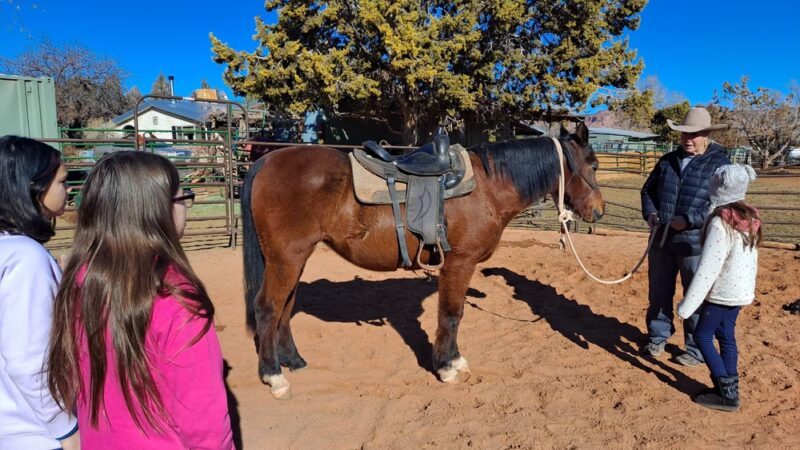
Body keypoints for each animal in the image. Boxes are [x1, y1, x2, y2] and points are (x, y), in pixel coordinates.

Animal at [241, 122, 605, 399]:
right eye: (594, 165)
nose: (599, 211)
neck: (489, 186)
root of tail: (266, 161)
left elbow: (454, 315)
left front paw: (453, 361)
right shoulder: (459, 263)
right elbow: (451, 315)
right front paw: (446, 366)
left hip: (295, 258)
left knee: (285, 307)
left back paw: (293, 360)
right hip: (285, 259)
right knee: (268, 308)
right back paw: (274, 376)